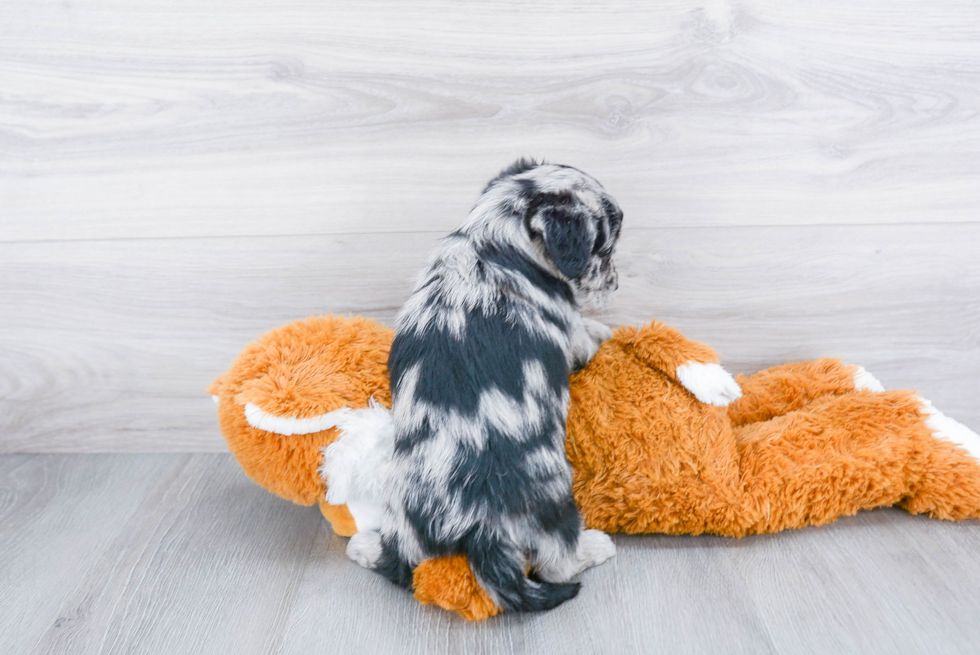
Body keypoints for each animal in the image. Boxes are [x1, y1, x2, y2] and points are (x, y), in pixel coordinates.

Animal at [350, 161, 620, 612]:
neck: (491, 242)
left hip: (405, 518)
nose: (615, 283)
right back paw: (596, 546)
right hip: (555, 503)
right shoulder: (570, 334)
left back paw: (364, 547)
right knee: (556, 565)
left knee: (399, 561)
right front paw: (605, 329)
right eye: (604, 246)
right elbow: (586, 333)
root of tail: (476, 527)